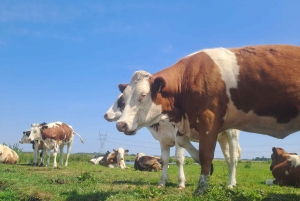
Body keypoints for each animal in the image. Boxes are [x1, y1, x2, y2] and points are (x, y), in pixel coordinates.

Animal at [103, 92, 241, 188]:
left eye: (122, 99)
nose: (105, 114)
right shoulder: (163, 140)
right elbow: (164, 161)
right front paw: (162, 182)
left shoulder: (178, 135)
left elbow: (179, 159)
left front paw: (181, 183)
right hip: (222, 137)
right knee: (228, 158)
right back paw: (232, 181)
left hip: (232, 133)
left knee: (234, 158)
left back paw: (231, 184)